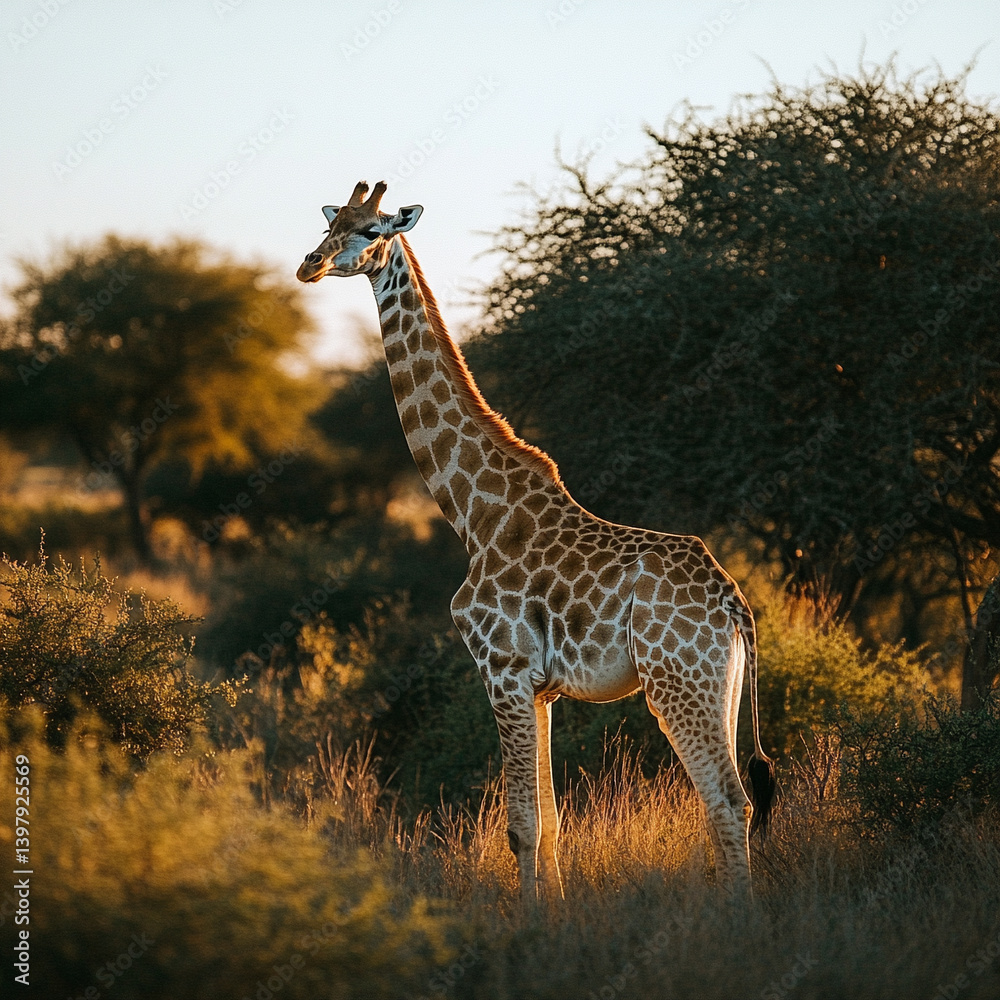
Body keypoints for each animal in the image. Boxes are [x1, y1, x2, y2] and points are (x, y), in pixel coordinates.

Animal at [296, 180, 776, 901]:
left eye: (373, 230)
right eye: (333, 224)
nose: (311, 264)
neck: (472, 513)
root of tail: (732, 602)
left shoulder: (502, 668)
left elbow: (520, 827)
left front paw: (529, 925)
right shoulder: (543, 687)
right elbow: (551, 827)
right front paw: (555, 915)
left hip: (675, 682)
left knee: (727, 799)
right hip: (718, 683)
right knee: (734, 798)